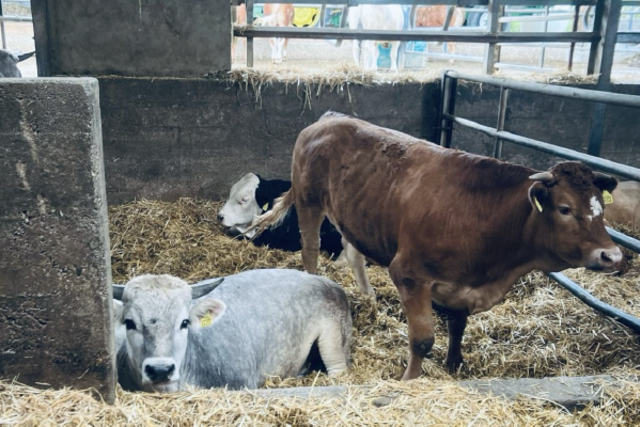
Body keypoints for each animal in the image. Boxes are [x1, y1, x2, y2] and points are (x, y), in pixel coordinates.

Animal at [252, 111, 623, 381]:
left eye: (601, 208)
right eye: (565, 209)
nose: (613, 254)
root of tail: (328, 119)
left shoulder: (463, 285)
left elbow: (458, 327)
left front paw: (455, 364)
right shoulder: (410, 275)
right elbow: (422, 340)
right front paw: (410, 379)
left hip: (354, 216)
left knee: (354, 250)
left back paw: (369, 296)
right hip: (308, 200)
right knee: (311, 246)